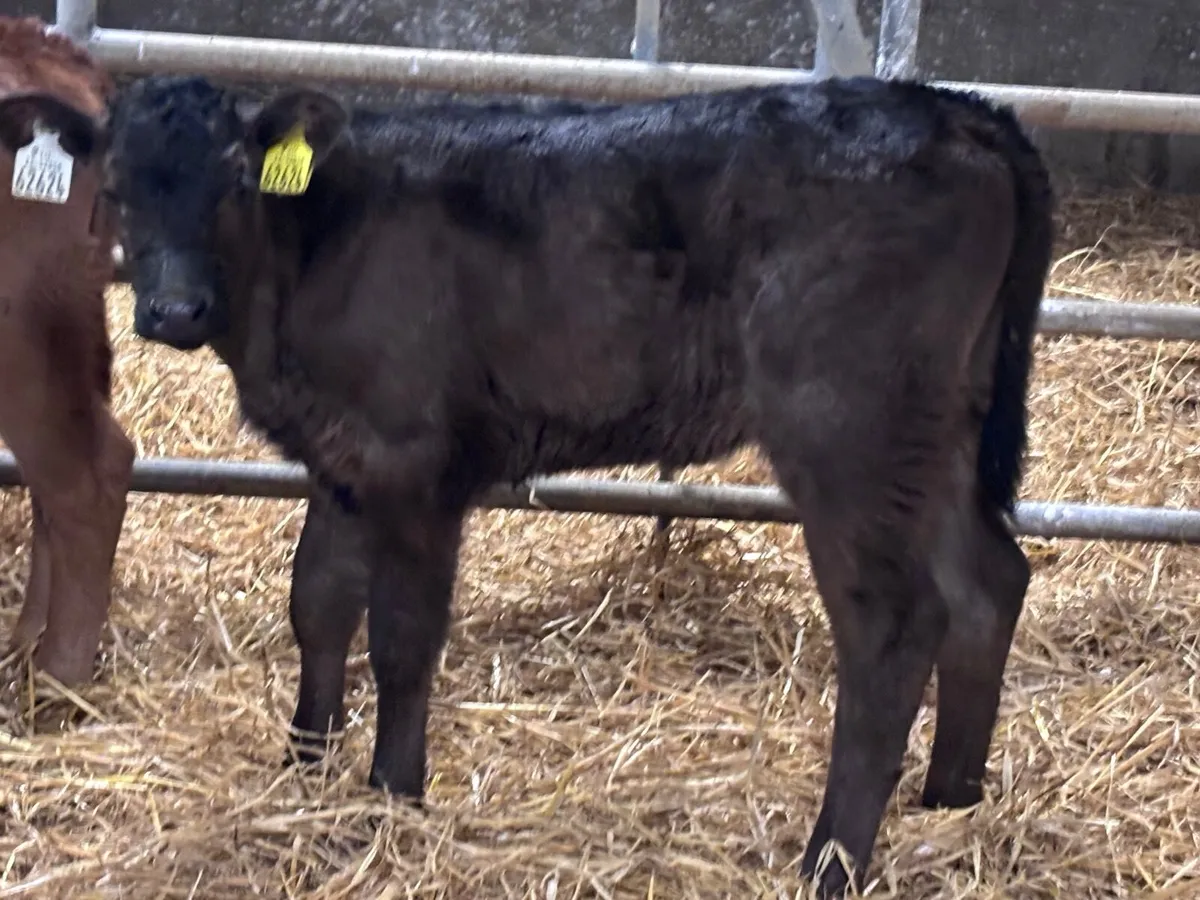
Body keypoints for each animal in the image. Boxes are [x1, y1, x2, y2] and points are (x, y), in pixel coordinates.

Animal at [97, 72, 1054, 896]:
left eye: (233, 182)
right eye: (114, 187)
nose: (174, 310)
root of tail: (955, 107)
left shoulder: (415, 461)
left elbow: (403, 636)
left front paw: (392, 794)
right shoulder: (341, 456)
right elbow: (319, 603)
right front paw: (304, 766)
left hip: (849, 427)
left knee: (893, 625)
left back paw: (831, 861)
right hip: (939, 428)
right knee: (987, 582)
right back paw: (952, 804)